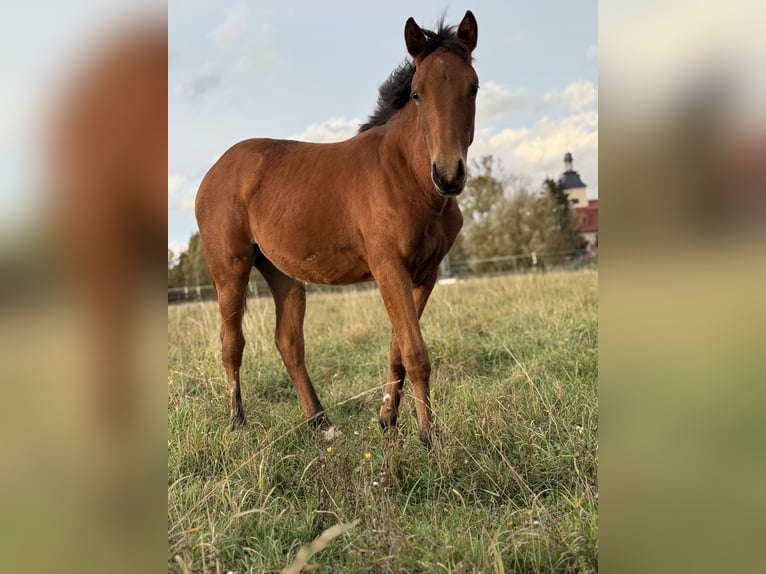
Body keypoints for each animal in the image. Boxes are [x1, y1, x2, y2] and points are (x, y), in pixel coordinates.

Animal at [195, 11, 479, 446]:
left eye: (474, 87)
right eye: (417, 93)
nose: (448, 175)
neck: (407, 176)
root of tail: (215, 170)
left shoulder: (424, 274)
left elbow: (398, 348)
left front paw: (388, 420)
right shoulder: (388, 268)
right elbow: (415, 352)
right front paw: (428, 437)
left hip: (283, 273)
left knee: (288, 341)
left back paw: (321, 421)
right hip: (230, 268)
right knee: (232, 343)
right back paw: (238, 421)